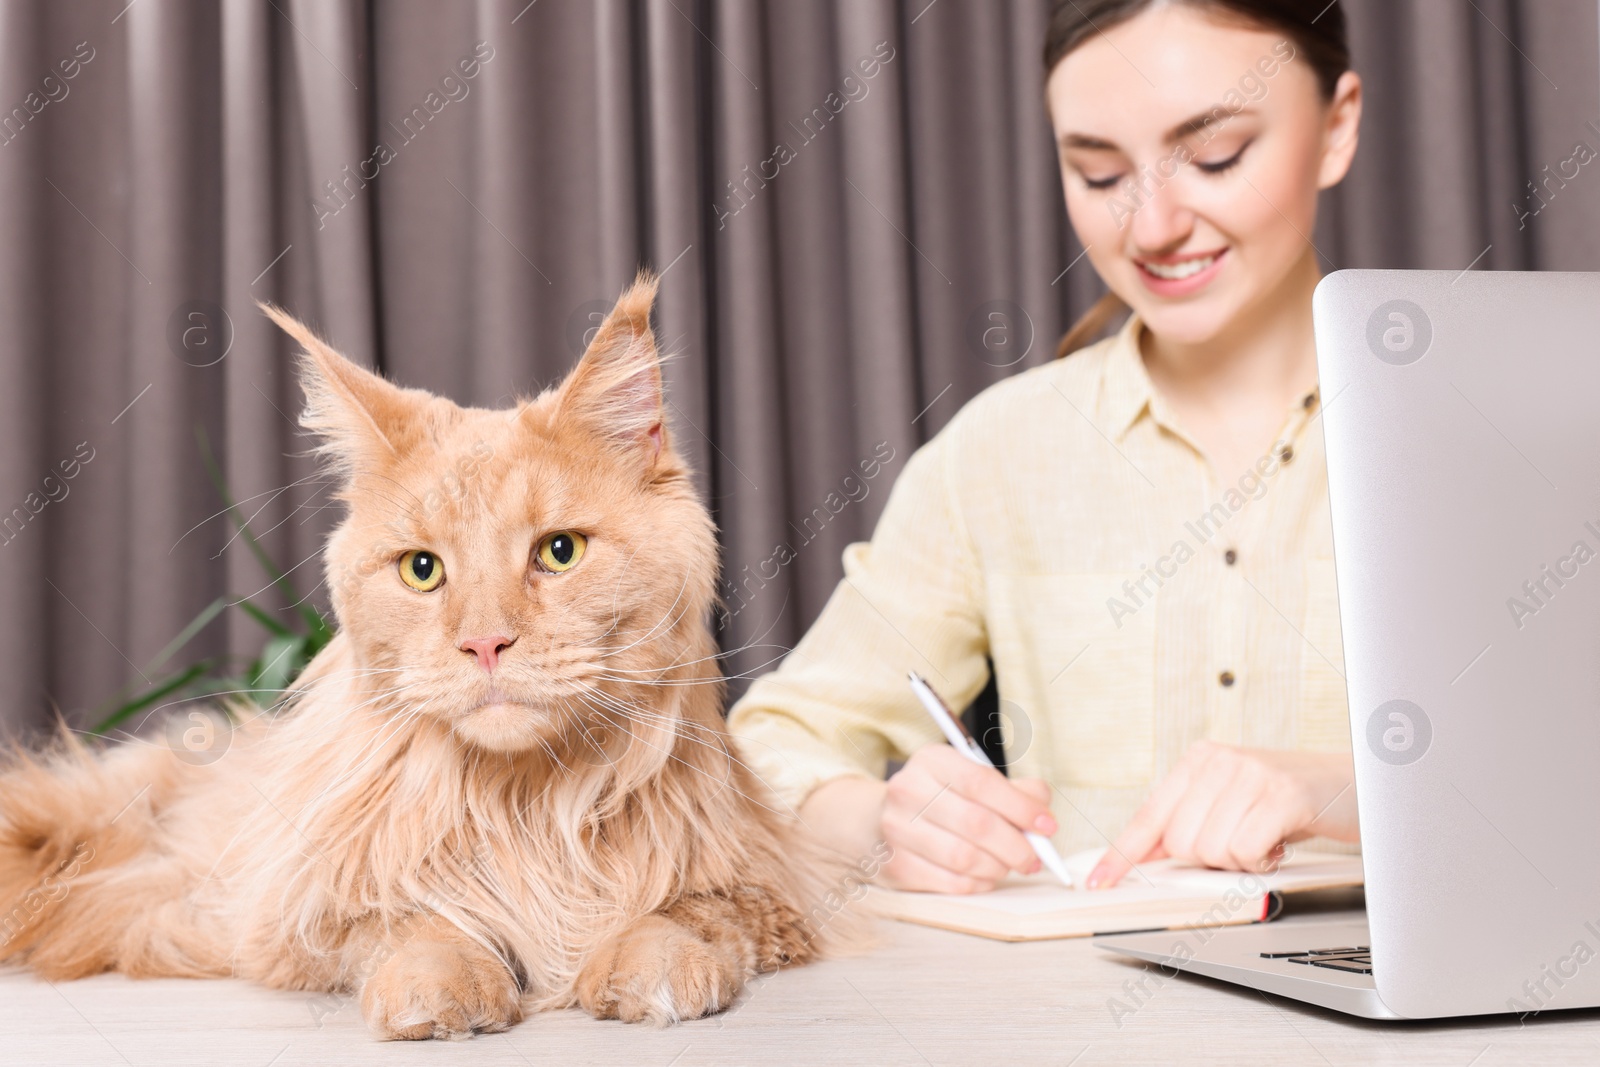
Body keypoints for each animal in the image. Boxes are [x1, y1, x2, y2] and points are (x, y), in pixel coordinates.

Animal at [0, 273, 864, 1036]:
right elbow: (417, 921)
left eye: (559, 552)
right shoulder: (299, 914)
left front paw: (649, 962)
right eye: (422, 569)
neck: (527, 809)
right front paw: (440, 983)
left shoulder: (775, 886)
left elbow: (686, 908)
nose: (484, 642)